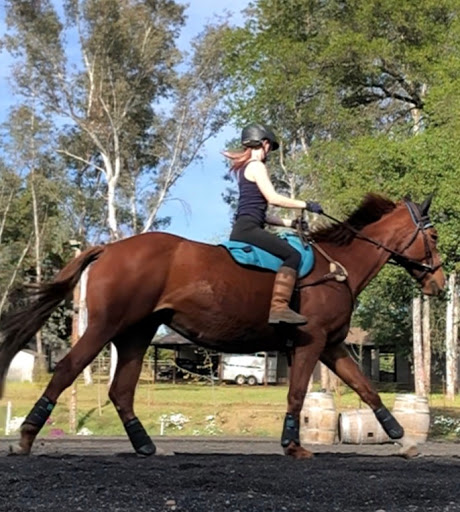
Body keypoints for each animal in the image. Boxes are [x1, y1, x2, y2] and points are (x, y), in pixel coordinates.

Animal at [0, 194, 446, 458]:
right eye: (435, 236)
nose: (439, 283)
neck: (339, 267)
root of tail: (109, 247)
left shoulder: (333, 345)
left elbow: (367, 388)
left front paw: (404, 438)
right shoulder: (312, 342)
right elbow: (298, 394)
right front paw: (293, 446)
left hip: (136, 334)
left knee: (121, 390)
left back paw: (146, 445)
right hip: (106, 327)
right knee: (68, 369)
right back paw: (26, 437)